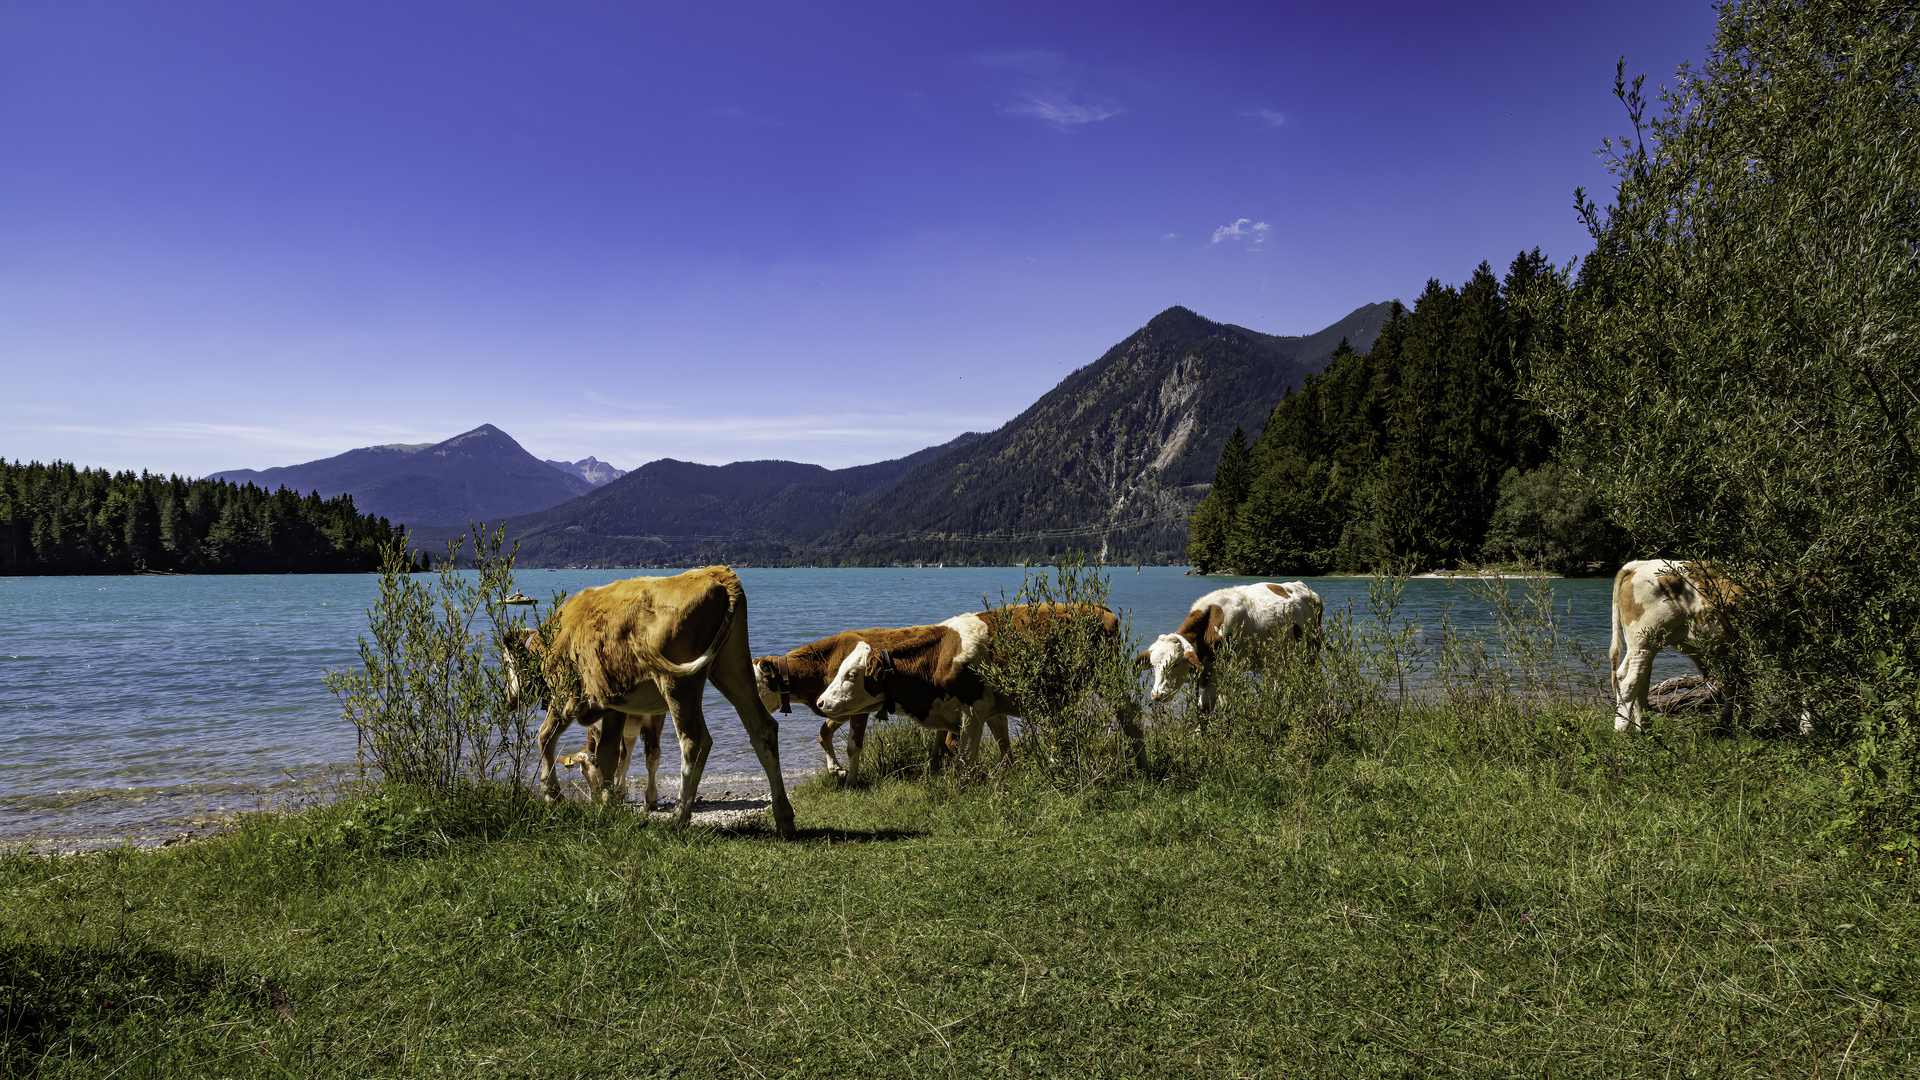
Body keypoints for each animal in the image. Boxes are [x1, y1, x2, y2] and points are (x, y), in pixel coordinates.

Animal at [503, 568, 794, 837]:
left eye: (506, 662)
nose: (508, 700)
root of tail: (715, 572)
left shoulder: (564, 696)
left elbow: (545, 737)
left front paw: (552, 794)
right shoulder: (613, 705)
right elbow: (609, 753)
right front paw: (607, 806)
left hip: (678, 683)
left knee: (695, 741)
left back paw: (679, 817)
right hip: (732, 668)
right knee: (763, 730)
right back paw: (784, 818)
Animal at [1136, 576, 1320, 711]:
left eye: (1175, 664)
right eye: (1153, 665)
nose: (1157, 695)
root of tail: (1303, 586)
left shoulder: (1220, 669)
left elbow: (1212, 704)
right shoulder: (1206, 671)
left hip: (1312, 647)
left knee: (1311, 677)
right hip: (1276, 658)